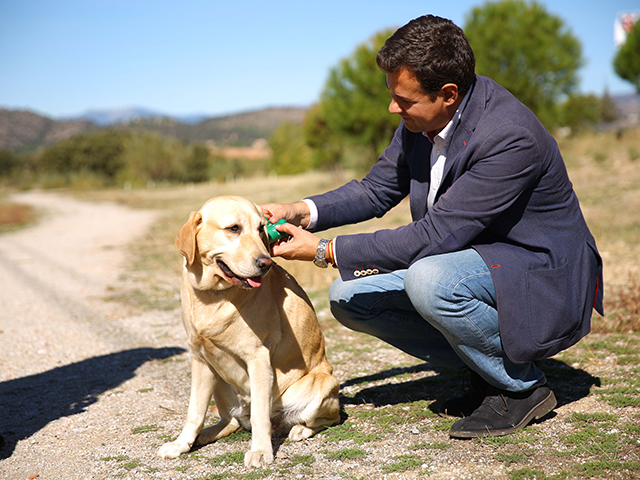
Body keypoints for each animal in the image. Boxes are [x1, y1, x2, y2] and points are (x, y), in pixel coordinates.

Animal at [158, 194, 342, 464]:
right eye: (233, 228)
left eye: (260, 229)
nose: (265, 263)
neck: (215, 295)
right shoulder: (200, 360)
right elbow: (195, 411)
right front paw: (181, 444)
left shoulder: (258, 359)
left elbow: (259, 415)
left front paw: (261, 451)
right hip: (220, 384)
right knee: (232, 421)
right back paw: (206, 434)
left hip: (323, 384)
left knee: (328, 418)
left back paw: (299, 429)